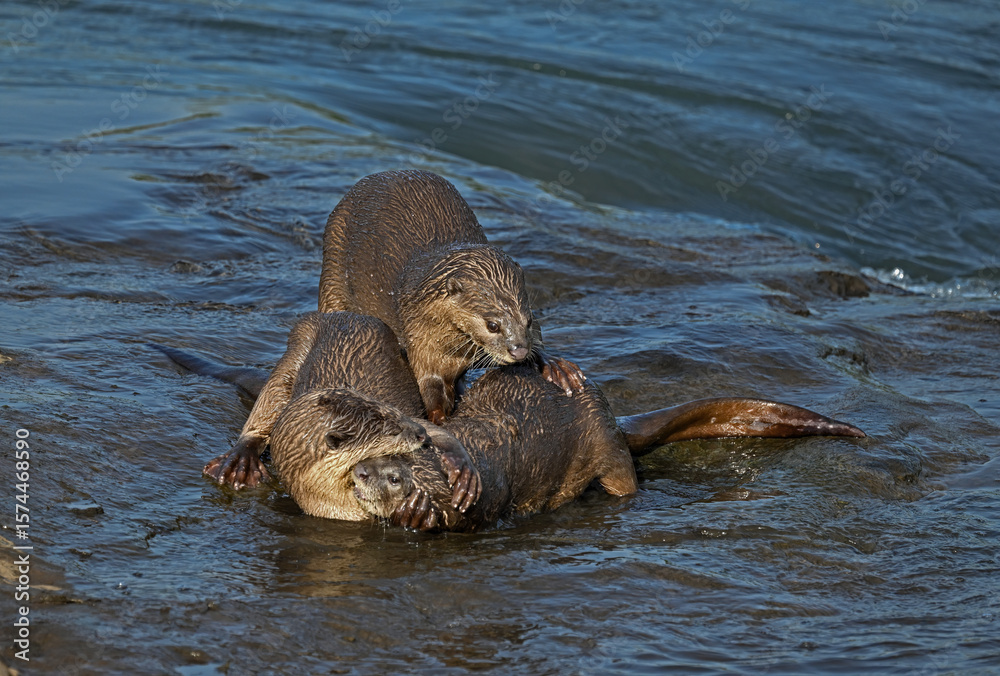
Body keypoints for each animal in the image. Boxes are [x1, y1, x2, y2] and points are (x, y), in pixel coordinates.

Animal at [318, 169, 583, 425]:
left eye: (528, 320)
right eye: (492, 325)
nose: (518, 350)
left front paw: (555, 366)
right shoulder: (420, 341)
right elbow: (429, 384)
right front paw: (440, 418)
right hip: (332, 275)